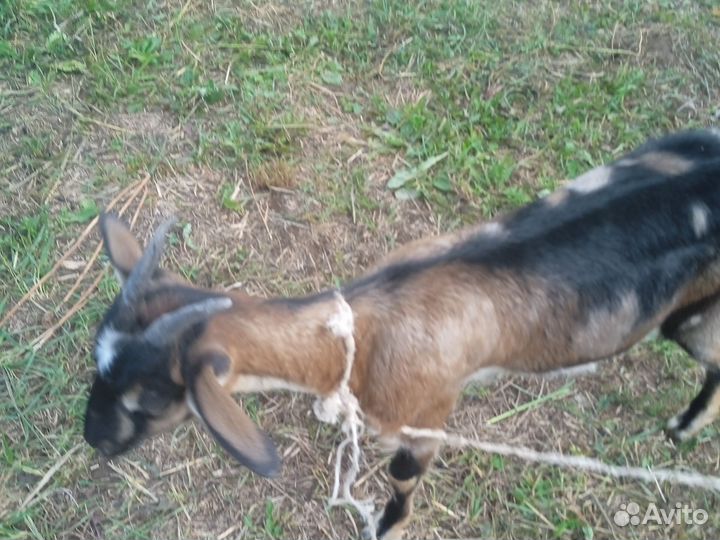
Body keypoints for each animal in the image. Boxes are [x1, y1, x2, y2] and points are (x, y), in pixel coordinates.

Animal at [84, 129, 720, 539]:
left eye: (151, 402)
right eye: (97, 361)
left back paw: (682, 428)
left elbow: (402, 481)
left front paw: (384, 528)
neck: (367, 330)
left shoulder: (426, 418)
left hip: (689, 312)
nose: (95, 440)